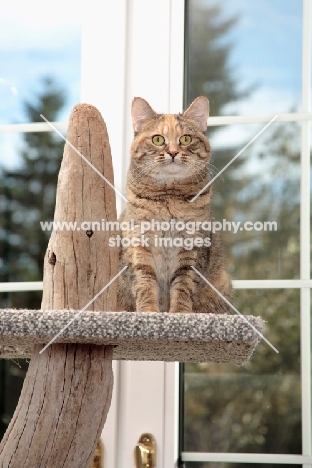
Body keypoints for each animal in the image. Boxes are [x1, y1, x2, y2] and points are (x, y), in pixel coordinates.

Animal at [118, 96, 233, 312]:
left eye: (185, 139)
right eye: (158, 139)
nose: (172, 152)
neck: (168, 198)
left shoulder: (192, 247)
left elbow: (183, 285)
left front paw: (179, 312)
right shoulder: (139, 243)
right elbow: (144, 281)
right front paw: (149, 311)